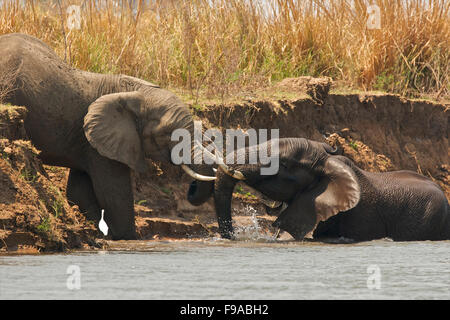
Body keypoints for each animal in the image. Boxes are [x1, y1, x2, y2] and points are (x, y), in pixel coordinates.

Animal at [0, 33, 215, 239]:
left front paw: (100, 234)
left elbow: (80, 191)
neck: (136, 93)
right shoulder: (99, 144)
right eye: (167, 134)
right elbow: (114, 193)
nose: (190, 189)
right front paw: (128, 238)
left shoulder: (87, 142)